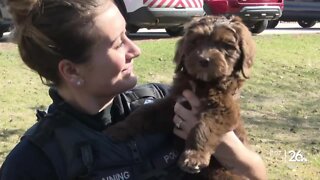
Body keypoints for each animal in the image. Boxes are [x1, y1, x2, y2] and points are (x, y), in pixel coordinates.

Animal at [105, 15, 255, 179]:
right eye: (195, 41)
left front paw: (193, 157)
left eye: (226, 45)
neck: (202, 82)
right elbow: (145, 112)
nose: (204, 60)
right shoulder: (172, 105)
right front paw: (119, 128)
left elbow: (204, 126)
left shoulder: (222, 108)